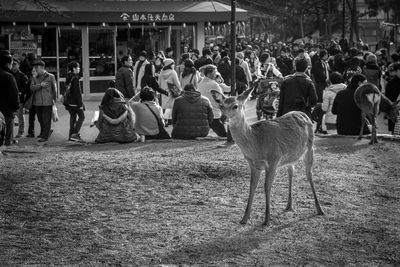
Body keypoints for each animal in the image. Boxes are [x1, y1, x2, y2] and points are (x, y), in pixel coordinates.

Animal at [211, 88, 324, 226]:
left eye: (235, 106)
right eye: (221, 106)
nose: (223, 118)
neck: (257, 144)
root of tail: (304, 114)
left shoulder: (273, 160)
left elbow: (267, 186)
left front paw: (266, 220)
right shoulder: (253, 164)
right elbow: (252, 186)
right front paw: (244, 218)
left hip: (310, 148)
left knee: (309, 175)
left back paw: (319, 209)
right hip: (290, 156)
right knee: (291, 171)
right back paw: (289, 205)